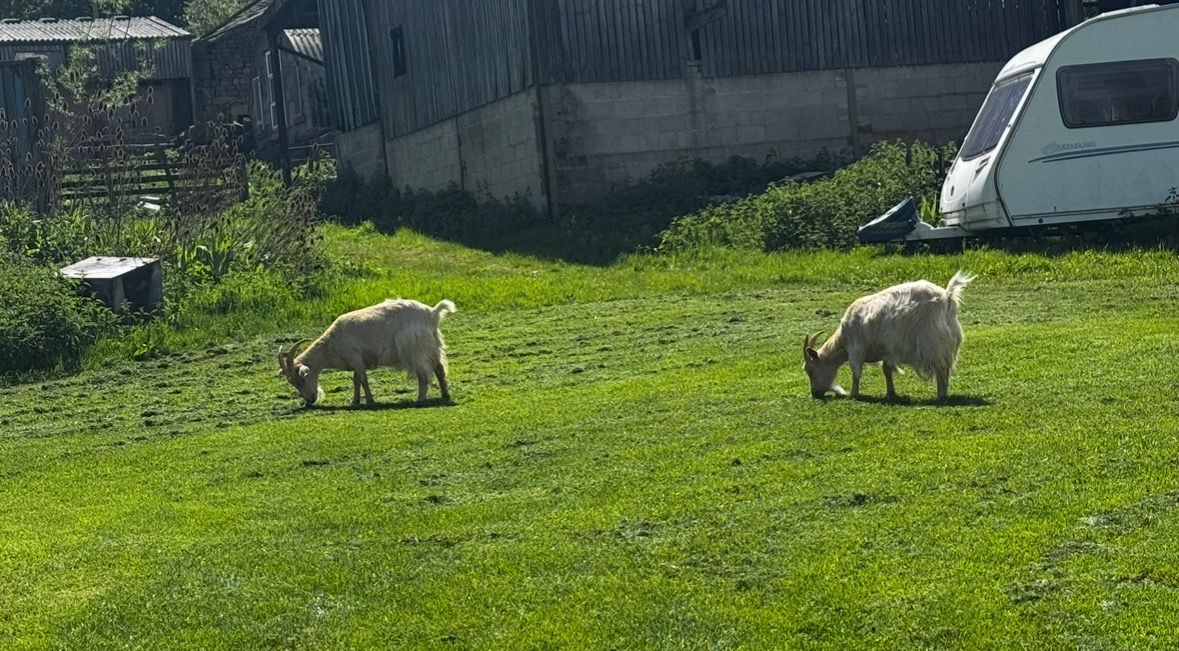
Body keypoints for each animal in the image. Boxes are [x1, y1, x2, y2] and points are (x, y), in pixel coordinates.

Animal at [278, 298, 456, 407]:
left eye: (301, 380)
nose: (310, 400)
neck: (330, 345)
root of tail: (432, 313)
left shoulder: (355, 358)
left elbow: (362, 379)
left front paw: (370, 400)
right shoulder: (356, 361)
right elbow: (356, 380)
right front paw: (355, 401)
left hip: (416, 349)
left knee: (423, 374)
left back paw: (420, 399)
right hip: (434, 345)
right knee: (439, 369)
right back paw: (445, 395)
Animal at [803, 271, 975, 401]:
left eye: (809, 370)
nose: (815, 394)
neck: (843, 339)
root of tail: (947, 296)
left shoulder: (855, 349)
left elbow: (856, 372)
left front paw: (853, 394)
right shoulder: (887, 351)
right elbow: (886, 370)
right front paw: (891, 393)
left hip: (933, 342)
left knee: (941, 369)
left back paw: (941, 395)